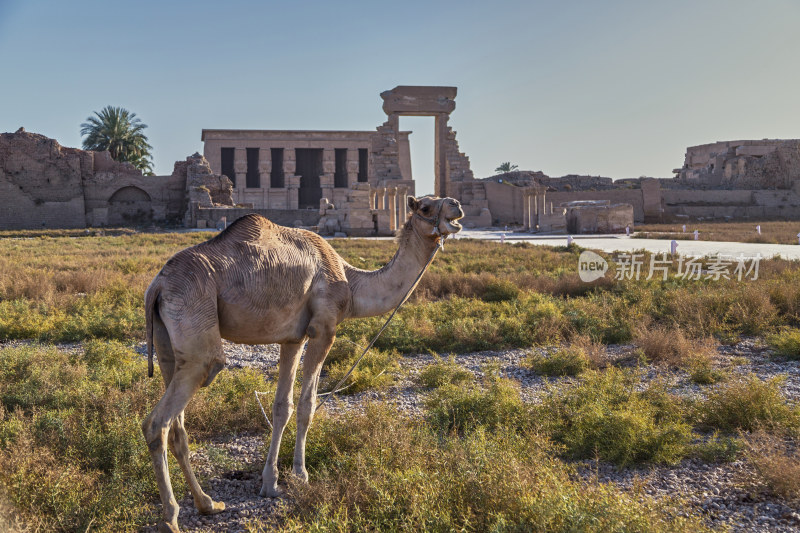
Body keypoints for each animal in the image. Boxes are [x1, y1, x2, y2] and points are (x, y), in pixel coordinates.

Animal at [142, 195, 462, 532]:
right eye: (426, 207)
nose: (456, 205)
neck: (350, 281)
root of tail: (157, 287)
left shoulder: (292, 338)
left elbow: (282, 406)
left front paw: (270, 483)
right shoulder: (324, 328)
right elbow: (308, 405)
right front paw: (300, 476)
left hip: (167, 342)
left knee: (177, 425)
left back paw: (208, 503)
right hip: (196, 323)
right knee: (159, 421)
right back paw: (171, 517)